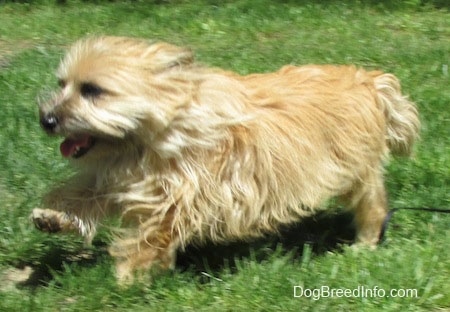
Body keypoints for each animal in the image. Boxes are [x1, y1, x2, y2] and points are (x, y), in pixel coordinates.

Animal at [30, 36, 418, 282]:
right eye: (62, 84)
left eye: (92, 90)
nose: (46, 119)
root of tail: (369, 81)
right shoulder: (125, 177)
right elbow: (86, 195)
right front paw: (54, 216)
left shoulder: (185, 193)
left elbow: (154, 234)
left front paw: (129, 277)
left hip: (355, 169)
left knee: (372, 203)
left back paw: (364, 242)